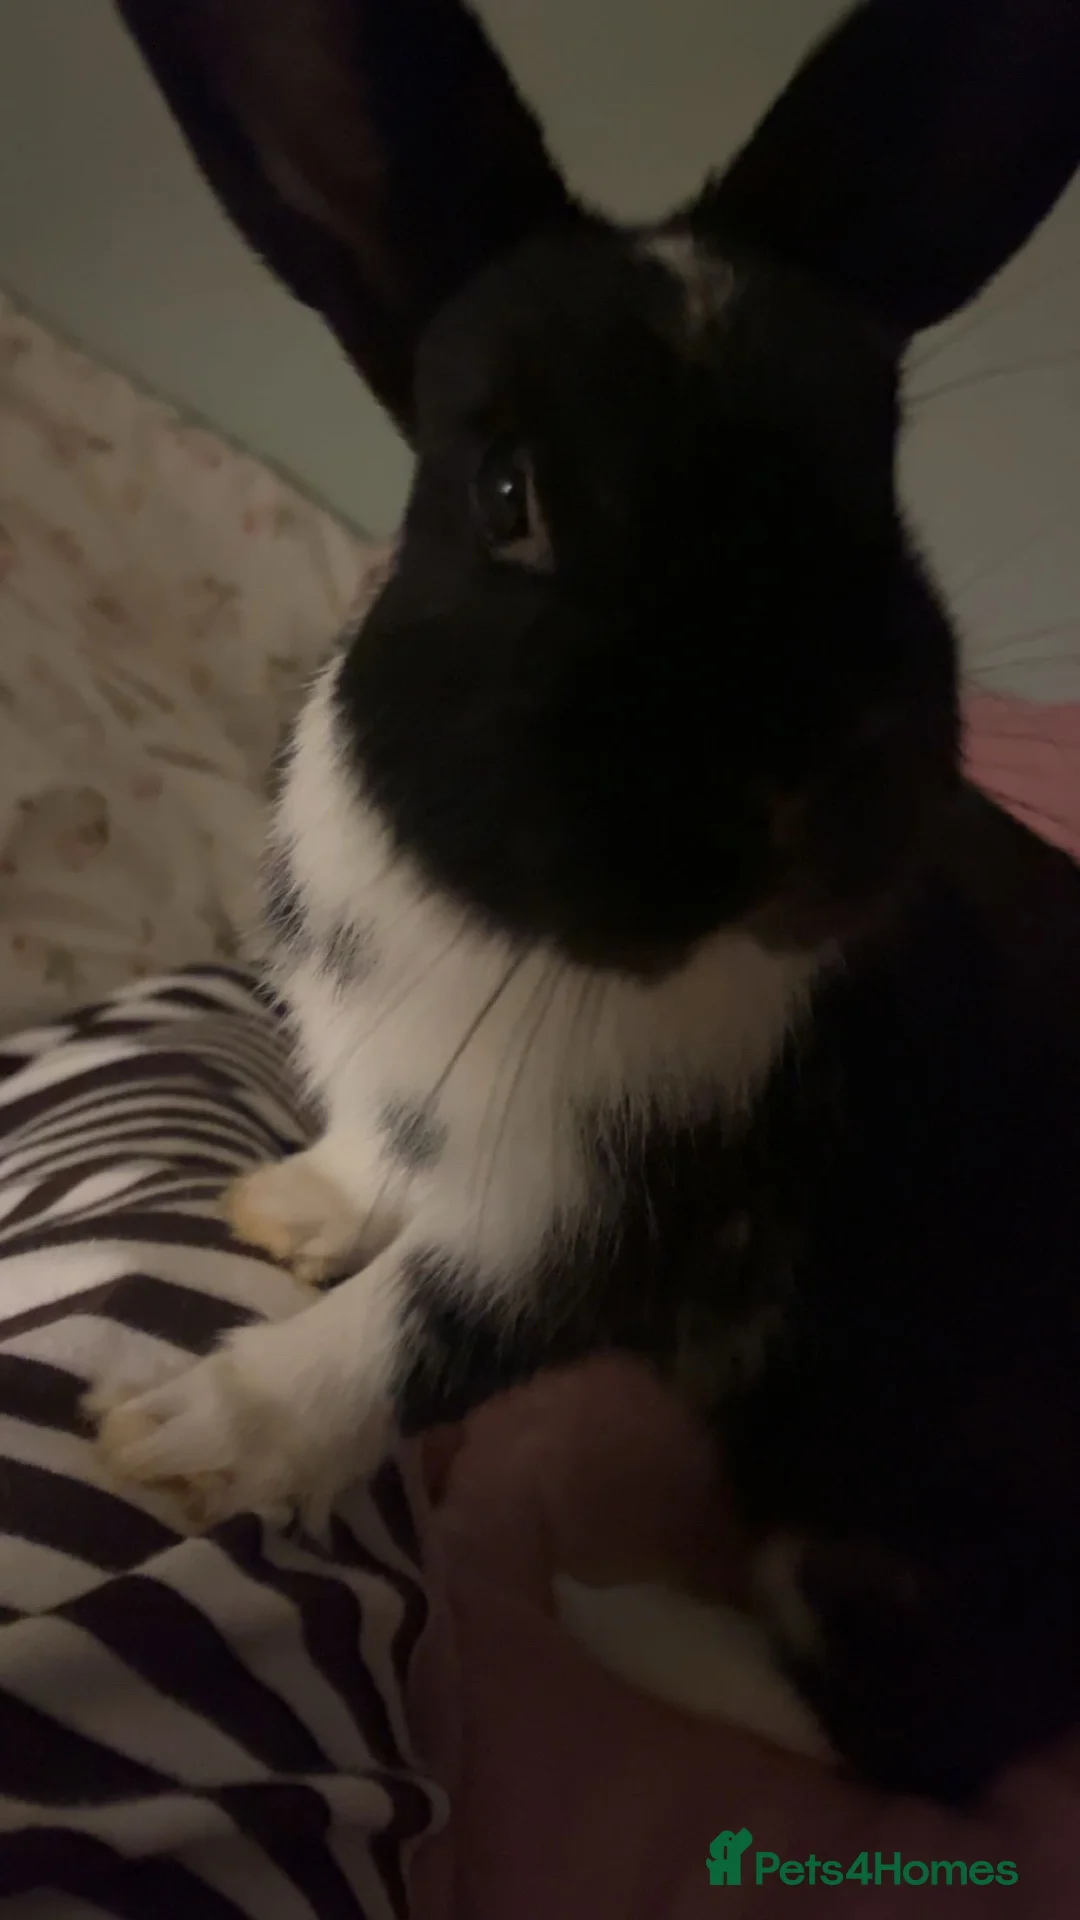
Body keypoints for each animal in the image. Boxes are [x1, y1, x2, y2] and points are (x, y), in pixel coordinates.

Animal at [96, 0, 1080, 1804]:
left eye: (878, 476)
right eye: (508, 496)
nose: (804, 787)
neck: (505, 925)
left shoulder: (600, 1228)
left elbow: (402, 1342)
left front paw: (184, 1434)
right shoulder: (421, 1113)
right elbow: (375, 1176)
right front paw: (292, 1209)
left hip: (901, 1529)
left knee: (910, 1746)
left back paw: (621, 1613)